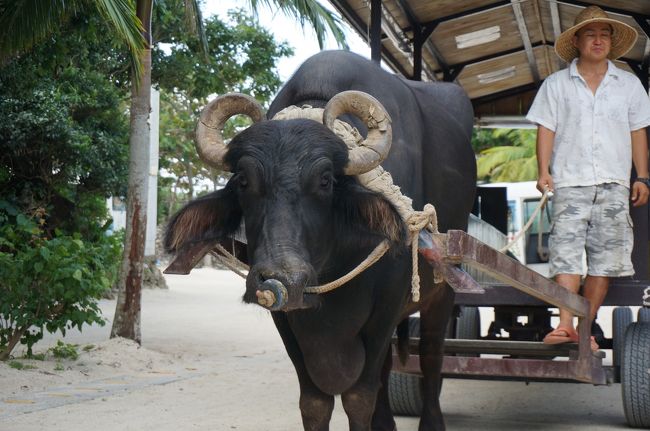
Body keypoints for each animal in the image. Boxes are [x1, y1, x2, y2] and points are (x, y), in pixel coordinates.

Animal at [165, 51, 474, 431]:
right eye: (243, 180)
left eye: (326, 181)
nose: (283, 279)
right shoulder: (286, 319)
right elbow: (315, 402)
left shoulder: (385, 310)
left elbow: (359, 397)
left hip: (442, 293)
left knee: (431, 359)